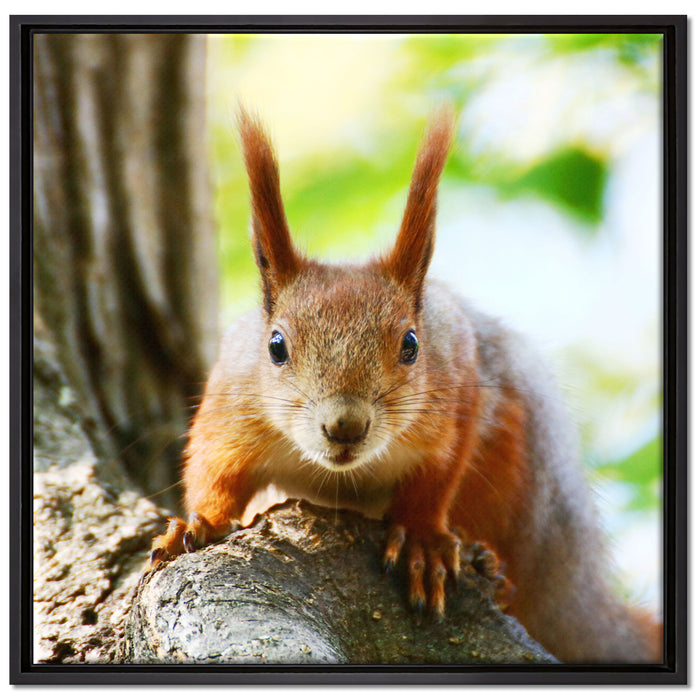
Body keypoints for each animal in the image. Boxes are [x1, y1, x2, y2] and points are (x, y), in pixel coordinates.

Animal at [150, 107, 662, 664]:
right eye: (276, 346)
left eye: (412, 344)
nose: (345, 426)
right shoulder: (232, 404)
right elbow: (214, 471)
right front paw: (198, 523)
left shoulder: (456, 390)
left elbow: (436, 476)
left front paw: (423, 541)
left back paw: (490, 565)